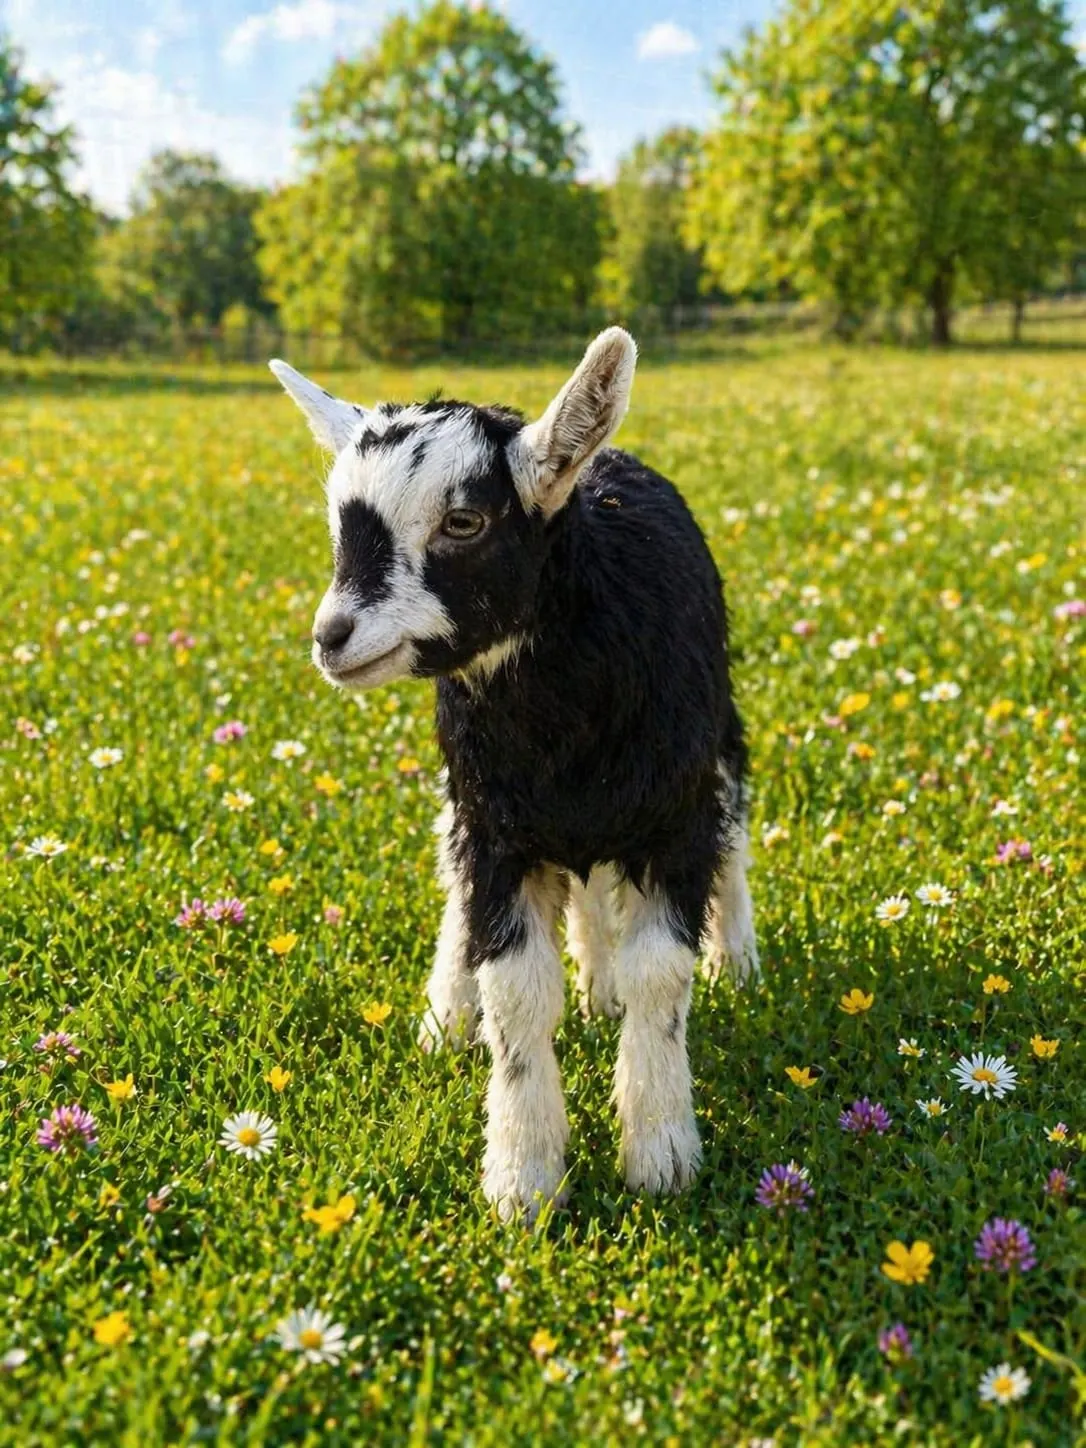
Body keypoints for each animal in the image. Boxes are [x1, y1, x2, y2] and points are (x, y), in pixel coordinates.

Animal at [271, 329, 757, 1219]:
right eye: (338, 521)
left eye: (464, 521)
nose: (332, 636)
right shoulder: (495, 827)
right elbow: (518, 992)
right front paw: (523, 1175)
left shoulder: (673, 819)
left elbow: (660, 976)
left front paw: (661, 1149)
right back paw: (469, 1007)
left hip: (716, 745)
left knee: (730, 835)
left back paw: (730, 957)